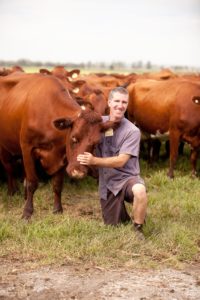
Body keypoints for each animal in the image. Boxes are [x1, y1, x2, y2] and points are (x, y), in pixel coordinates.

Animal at [0, 72, 115, 218]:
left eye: (96, 143)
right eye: (73, 138)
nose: (78, 172)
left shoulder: (61, 155)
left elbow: (57, 184)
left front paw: (57, 209)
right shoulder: (27, 148)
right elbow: (32, 182)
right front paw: (27, 212)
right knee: (9, 168)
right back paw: (12, 191)